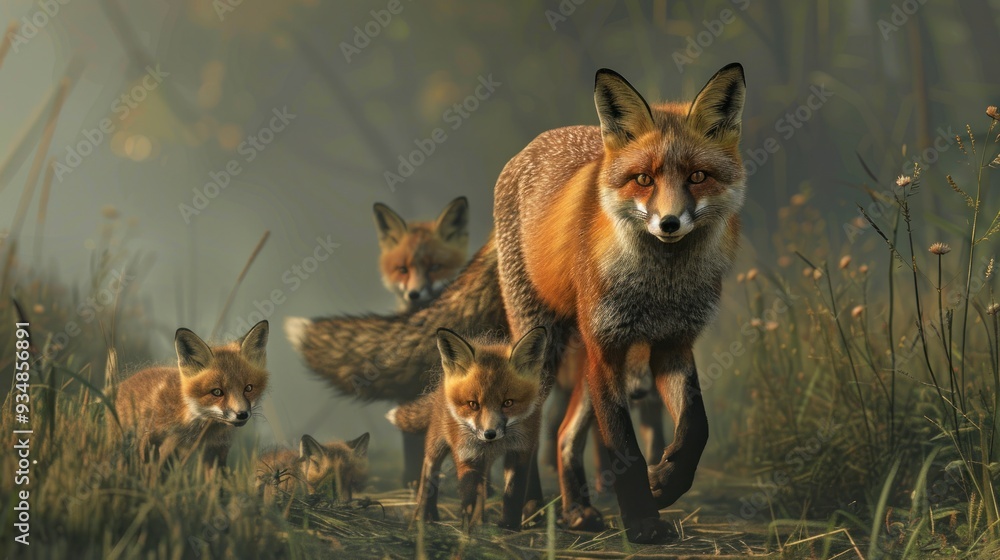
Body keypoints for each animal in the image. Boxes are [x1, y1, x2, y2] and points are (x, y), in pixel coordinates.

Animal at [387, 327, 547, 531]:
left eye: (508, 403)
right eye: (473, 404)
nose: (489, 434)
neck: (493, 446)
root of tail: (441, 385)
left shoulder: (520, 452)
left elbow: (512, 494)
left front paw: (508, 526)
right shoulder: (466, 454)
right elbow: (468, 494)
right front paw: (466, 528)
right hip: (436, 445)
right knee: (428, 474)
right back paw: (425, 514)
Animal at [492, 64, 746, 543]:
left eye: (697, 176)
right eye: (644, 179)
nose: (669, 223)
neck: (660, 290)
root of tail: (535, 142)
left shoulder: (672, 345)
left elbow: (696, 428)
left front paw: (667, 482)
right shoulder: (606, 350)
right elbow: (622, 448)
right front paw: (644, 521)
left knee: (563, 436)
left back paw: (576, 509)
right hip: (548, 350)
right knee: (528, 435)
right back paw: (529, 506)